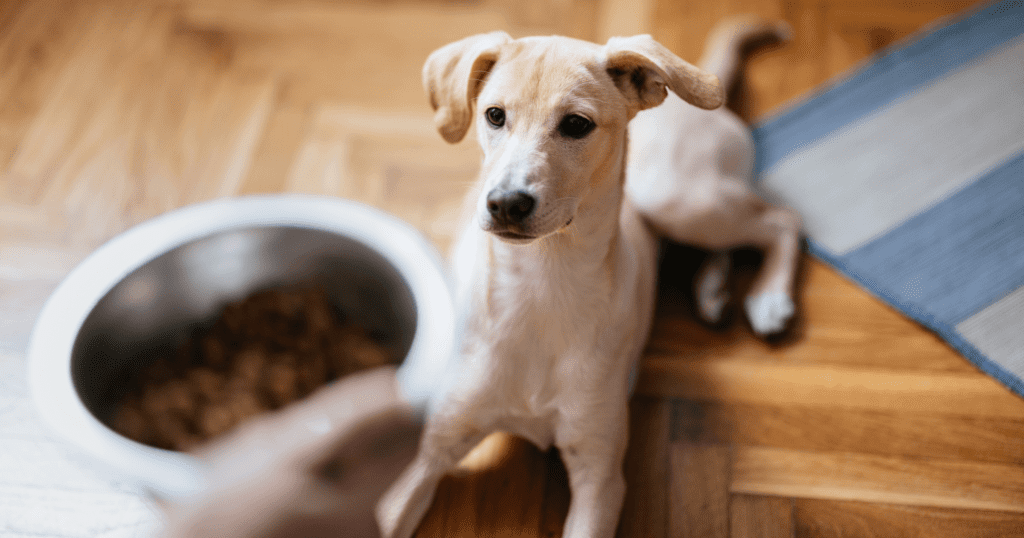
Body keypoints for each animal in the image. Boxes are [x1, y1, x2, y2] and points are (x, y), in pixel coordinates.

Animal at [376, 16, 798, 536]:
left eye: (576, 124)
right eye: (494, 115)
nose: (506, 203)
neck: (541, 285)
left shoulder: (599, 475)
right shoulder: (427, 453)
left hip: (677, 199)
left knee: (780, 221)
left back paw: (768, 299)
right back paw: (714, 290)